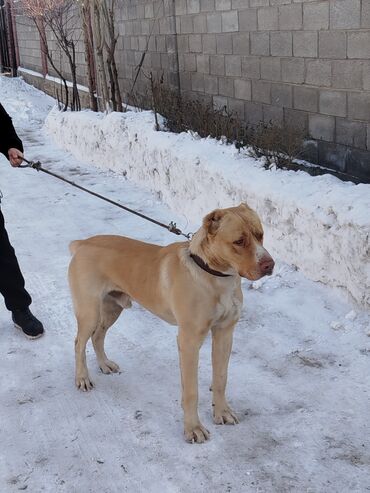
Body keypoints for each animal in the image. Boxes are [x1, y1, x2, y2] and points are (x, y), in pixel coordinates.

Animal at [68, 203, 274, 442]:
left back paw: (104, 364)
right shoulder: (189, 341)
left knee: (98, 336)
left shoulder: (224, 333)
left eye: (260, 235)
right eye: (239, 241)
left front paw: (222, 412)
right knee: (79, 343)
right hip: (89, 312)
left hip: (113, 307)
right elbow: (191, 391)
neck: (215, 275)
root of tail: (82, 243)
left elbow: (221, 378)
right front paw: (193, 428)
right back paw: (82, 378)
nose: (270, 264)